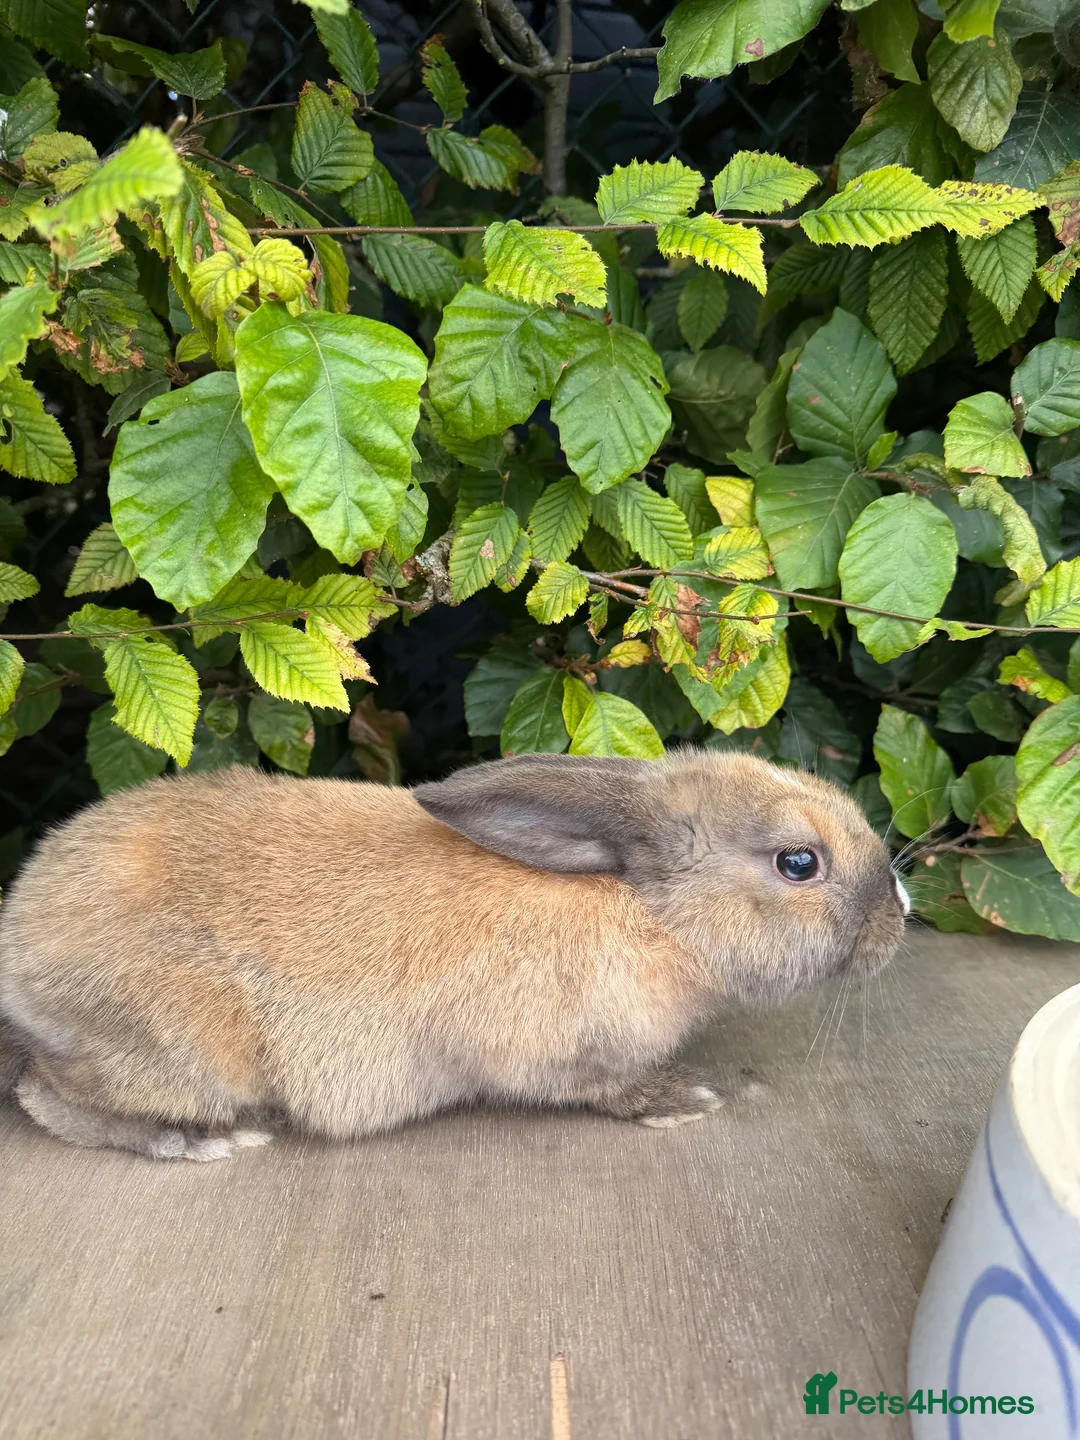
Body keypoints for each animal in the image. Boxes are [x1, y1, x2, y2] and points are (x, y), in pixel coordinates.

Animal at [0, 750, 909, 1161]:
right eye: (800, 863)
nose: (900, 911)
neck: (648, 914)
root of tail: (19, 951)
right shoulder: (556, 1054)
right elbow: (600, 1089)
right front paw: (681, 1098)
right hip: (175, 1049)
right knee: (48, 1098)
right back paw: (200, 1142)